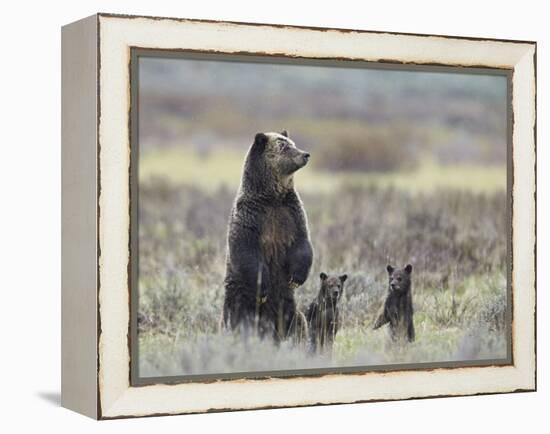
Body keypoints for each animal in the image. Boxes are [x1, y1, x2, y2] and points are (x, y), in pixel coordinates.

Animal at [221, 130, 314, 342]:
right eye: (284, 146)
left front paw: (296, 277)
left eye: (292, 143)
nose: (305, 154)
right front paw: (262, 287)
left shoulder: (292, 213)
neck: (272, 197)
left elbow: (302, 243)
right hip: (238, 296)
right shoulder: (251, 217)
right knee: (237, 319)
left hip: (287, 303)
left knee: (297, 321)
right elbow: (246, 250)